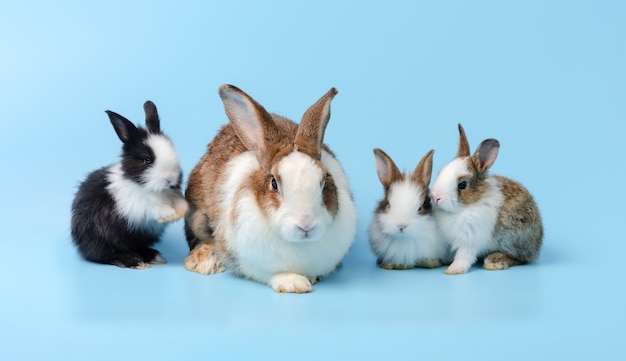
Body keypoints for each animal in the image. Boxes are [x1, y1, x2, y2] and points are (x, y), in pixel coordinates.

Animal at [70, 100, 188, 268]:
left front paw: (183, 209)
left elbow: (178, 201)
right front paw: (168, 213)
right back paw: (134, 261)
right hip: (98, 237)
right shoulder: (133, 206)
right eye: (147, 160)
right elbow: (150, 207)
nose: (170, 178)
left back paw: (153, 256)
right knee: (104, 255)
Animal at [183, 84, 354, 292]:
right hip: (197, 217)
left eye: (324, 180)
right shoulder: (245, 259)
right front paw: (293, 283)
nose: (306, 225)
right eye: (274, 183)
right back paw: (206, 261)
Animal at [428, 124, 540, 272]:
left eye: (462, 185)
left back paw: (494, 261)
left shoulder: (470, 239)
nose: (436, 197)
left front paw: (454, 270)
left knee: (521, 258)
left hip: (512, 239)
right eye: (440, 172)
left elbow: (464, 255)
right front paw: (432, 261)